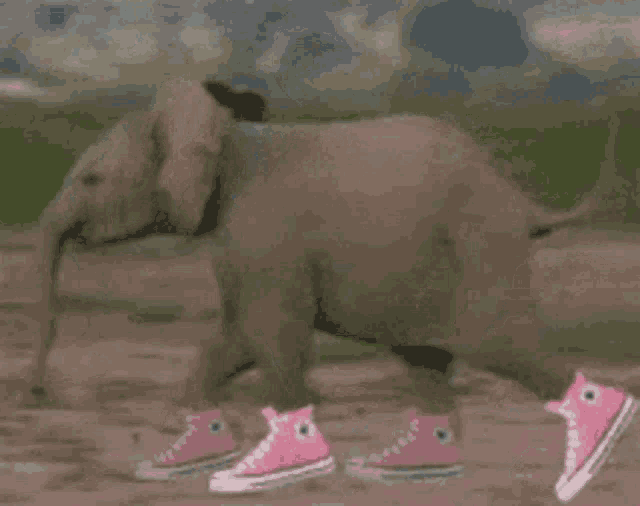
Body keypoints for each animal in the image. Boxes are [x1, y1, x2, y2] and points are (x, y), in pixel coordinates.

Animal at [25, 77, 598, 412]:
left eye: (92, 179)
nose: (38, 394)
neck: (229, 135)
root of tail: (518, 199)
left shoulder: (265, 238)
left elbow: (272, 338)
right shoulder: (245, 247)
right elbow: (236, 339)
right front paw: (194, 410)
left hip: (481, 243)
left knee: (505, 347)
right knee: (429, 364)